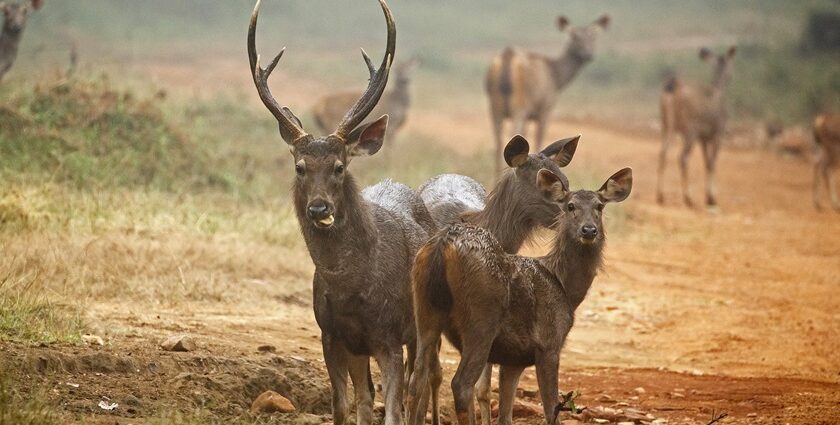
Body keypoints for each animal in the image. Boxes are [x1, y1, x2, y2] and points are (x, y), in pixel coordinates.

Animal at [248, 3, 436, 424]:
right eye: (300, 167)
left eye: (339, 166)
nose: (319, 208)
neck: (352, 290)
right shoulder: (331, 335)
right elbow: (342, 406)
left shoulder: (388, 335)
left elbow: (394, 410)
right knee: (369, 397)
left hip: (425, 328)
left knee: (421, 389)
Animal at [406, 166, 632, 424]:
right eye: (570, 206)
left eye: (599, 206)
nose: (589, 230)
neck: (565, 287)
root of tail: (443, 243)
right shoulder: (548, 343)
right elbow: (551, 410)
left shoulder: (513, 360)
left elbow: (506, 415)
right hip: (481, 321)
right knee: (461, 384)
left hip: (424, 312)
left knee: (416, 380)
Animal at [486, 14, 612, 174]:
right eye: (574, 36)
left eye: (593, 36)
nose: (588, 54)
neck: (558, 78)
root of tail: (507, 56)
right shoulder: (546, 108)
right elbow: (539, 139)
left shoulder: (529, 114)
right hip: (519, 105)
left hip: (494, 104)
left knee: (498, 140)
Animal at [656, 45, 736, 208]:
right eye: (728, 64)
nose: (731, 75)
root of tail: (673, 86)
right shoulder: (718, 133)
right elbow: (712, 163)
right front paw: (712, 198)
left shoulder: (703, 138)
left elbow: (706, 163)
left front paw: (708, 197)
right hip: (689, 130)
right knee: (683, 157)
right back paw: (688, 198)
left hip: (666, 125)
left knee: (663, 153)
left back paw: (660, 196)